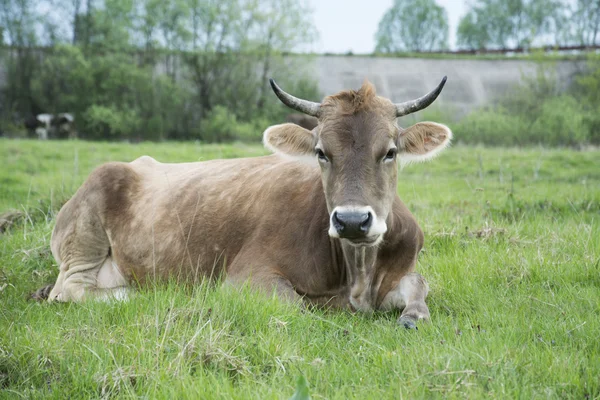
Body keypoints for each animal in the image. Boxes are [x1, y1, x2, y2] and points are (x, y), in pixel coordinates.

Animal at [34, 77, 450, 328]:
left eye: (390, 152)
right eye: (321, 152)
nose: (351, 221)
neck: (357, 274)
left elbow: (419, 284)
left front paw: (413, 315)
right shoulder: (245, 276)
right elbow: (296, 306)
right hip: (84, 236)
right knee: (69, 289)